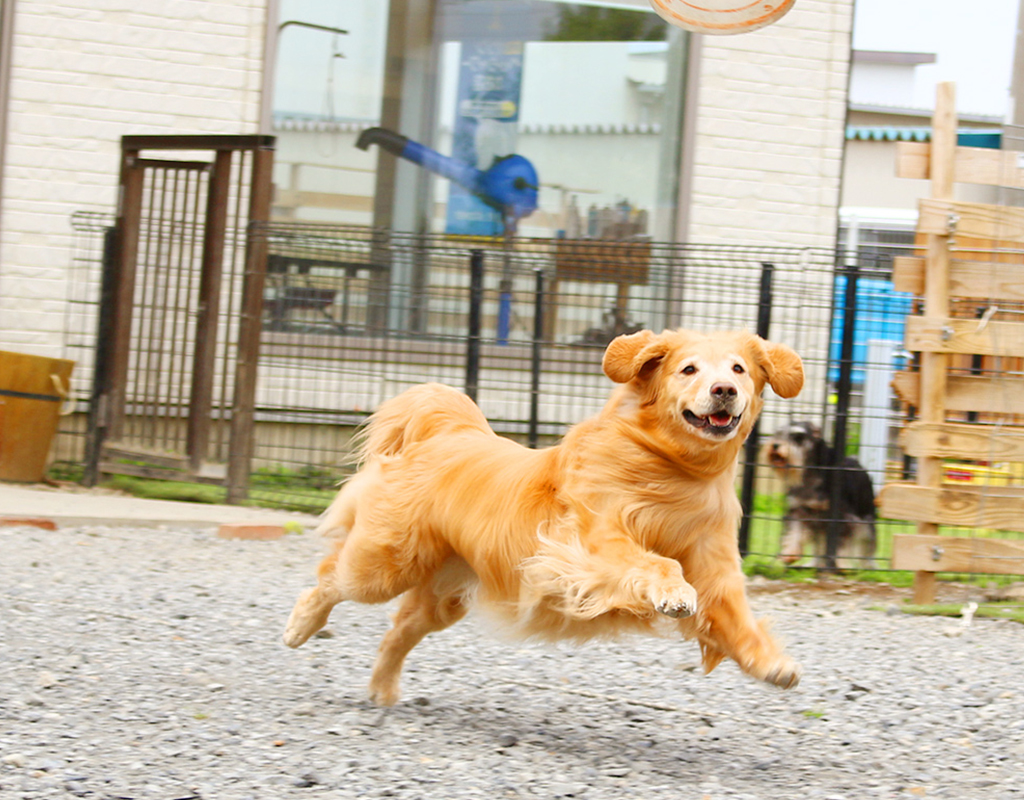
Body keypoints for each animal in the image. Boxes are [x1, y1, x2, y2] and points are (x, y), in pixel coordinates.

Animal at [765, 417, 876, 569]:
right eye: (778, 433)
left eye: (798, 437)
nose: (775, 445)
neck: (809, 474)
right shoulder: (797, 511)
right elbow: (794, 533)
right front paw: (789, 554)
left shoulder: (842, 517)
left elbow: (841, 544)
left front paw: (841, 564)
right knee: (819, 549)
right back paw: (814, 564)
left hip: (866, 524)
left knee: (866, 550)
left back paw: (868, 567)